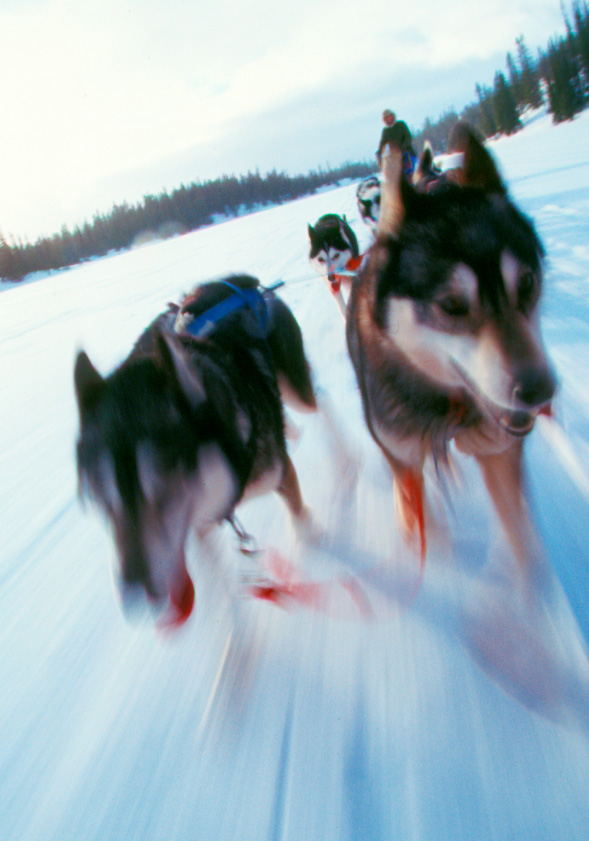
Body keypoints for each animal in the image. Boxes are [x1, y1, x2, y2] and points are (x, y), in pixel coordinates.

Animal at [74, 274, 316, 624]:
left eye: (163, 493)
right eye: (103, 502)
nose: (135, 599)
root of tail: (239, 282)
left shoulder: (280, 474)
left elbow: (302, 521)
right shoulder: (198, 529)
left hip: (296, 387)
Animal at [346, 131, 560, 576]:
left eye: (527, 283)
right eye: (451, 305)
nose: (539, 391)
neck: (447, 405)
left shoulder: (500, 454)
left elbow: (521, 539)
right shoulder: (402, 456)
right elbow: (419, 519)